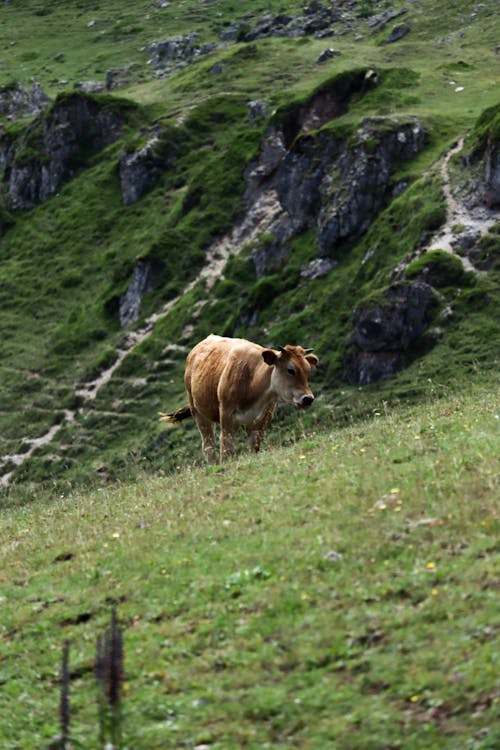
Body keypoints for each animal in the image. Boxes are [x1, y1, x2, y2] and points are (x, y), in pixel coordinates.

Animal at [164, 336, 320, 464]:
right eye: (290, 370)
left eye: (308, 370)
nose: (308, 398)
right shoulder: (227, 418)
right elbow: (226, 450)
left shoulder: (260, 422)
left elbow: (254, 448)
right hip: (198, 411)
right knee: (208, 446)